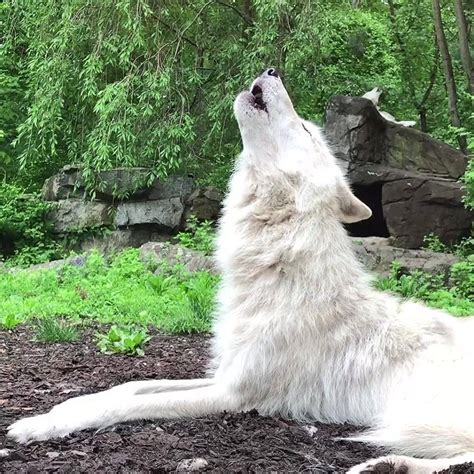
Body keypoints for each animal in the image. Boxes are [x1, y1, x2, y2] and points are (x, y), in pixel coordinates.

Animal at [6, 68, 474, 472]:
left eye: (306, 128)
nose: (271, 70)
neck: (277, 271)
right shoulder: (224, 373)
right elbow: (124, 387)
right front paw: (52, 412)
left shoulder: (235, 392)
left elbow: (123, 403)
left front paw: (41, 426)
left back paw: (389, 464)